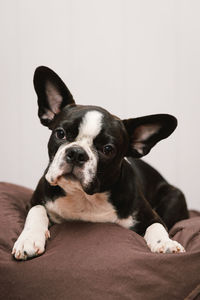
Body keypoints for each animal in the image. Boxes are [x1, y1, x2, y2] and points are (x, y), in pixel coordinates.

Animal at [12, 67, 188, 258]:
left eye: (108, 149)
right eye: (60, 133)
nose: (76, 153)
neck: (84, 197)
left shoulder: (152, 217)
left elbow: (156, 227)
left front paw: (166, 243)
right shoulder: (34, 201)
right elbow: (37, 211)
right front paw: (29, 239)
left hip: (174, 196)